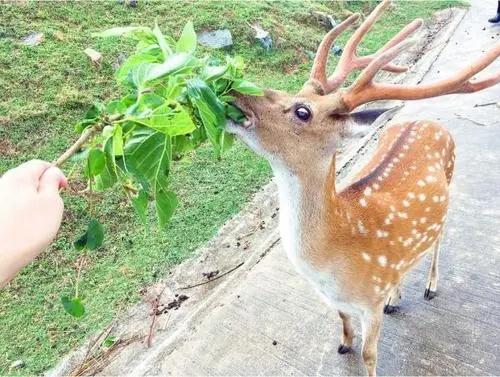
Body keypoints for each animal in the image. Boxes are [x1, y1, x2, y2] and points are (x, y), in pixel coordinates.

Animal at [227, 1, 500, 374]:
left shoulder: (369, 301)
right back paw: (396, 296)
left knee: (439, 239)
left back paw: (430, 286)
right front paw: (344, 344)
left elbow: (370, 355)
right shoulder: (336, 300)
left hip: (451, 180)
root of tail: (430, 122)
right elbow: (343, 322)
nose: (234, 89)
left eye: (302, 111)